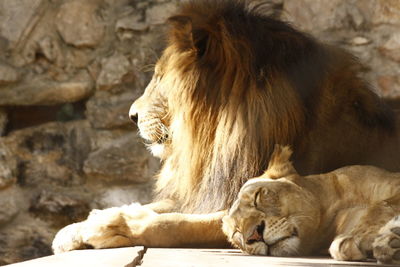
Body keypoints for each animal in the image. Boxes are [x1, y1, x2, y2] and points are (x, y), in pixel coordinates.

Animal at [51, 0, 398, 254]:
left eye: (160, 76)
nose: (131, 115)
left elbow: (177, 223)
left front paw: (113, 225)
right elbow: (158, 206)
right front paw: (75, 228)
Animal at [222, 147, 400, 266]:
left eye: (257, 197)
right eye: (237, 232)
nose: (254, 235)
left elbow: (381, 205)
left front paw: (363, 238)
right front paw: (390, 244)